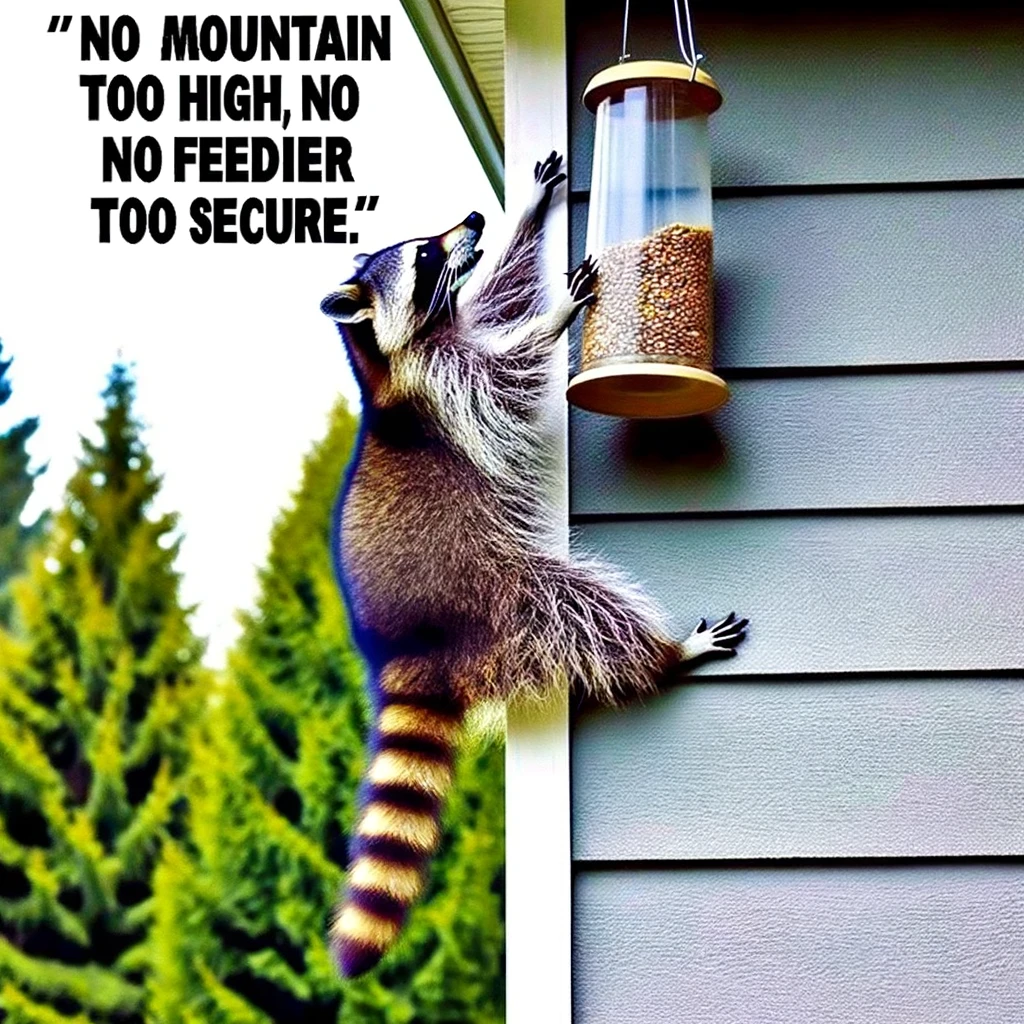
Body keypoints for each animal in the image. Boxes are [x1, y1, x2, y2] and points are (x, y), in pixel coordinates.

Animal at [317, 151, 745, 974]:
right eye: (423, 257)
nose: (471, 221)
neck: (383, 357)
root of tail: (402, 650)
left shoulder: (455, 329)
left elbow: (505, 288)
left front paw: (529, 218)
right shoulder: (443, 381)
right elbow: (507, 379)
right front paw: (551, 321)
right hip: (495, 595)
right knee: (577, 609)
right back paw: (665, 652)